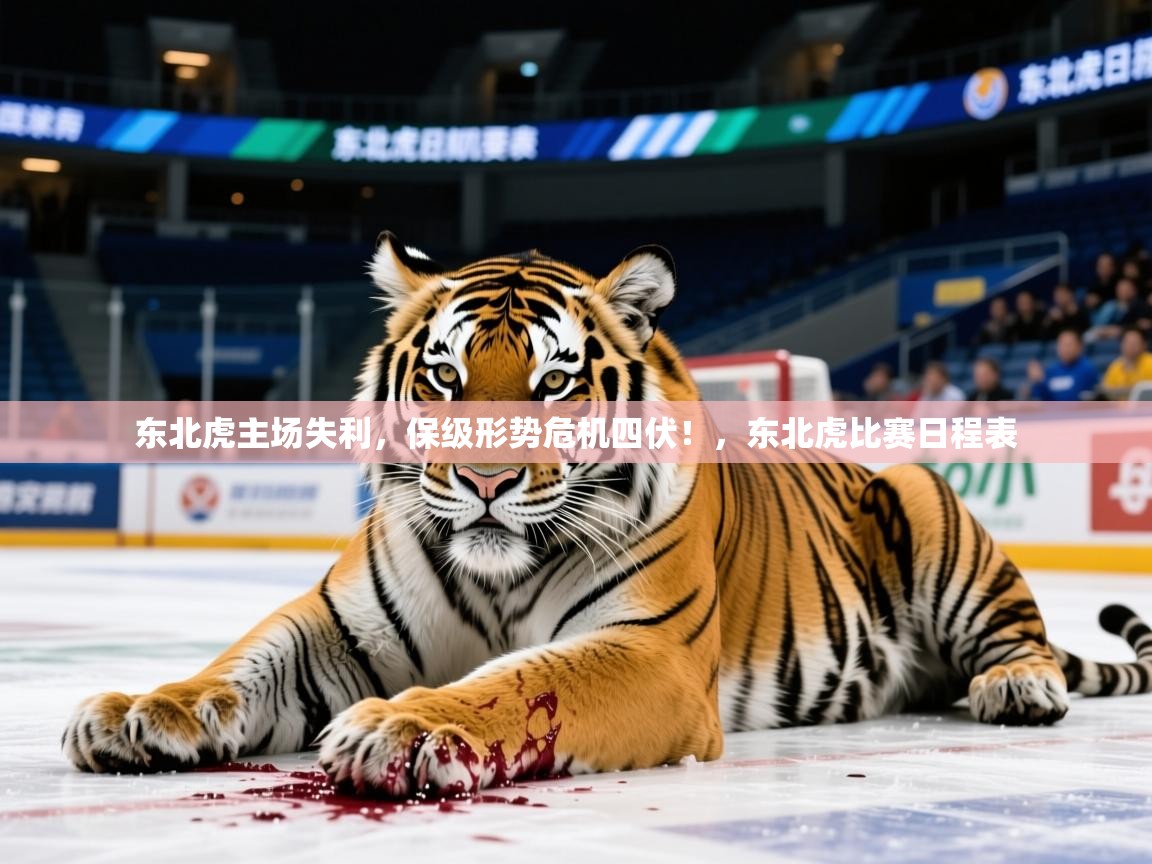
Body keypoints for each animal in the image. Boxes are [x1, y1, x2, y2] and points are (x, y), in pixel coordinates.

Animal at [64, 233, 1152, 797]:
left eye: (553, 382)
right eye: (445, 375)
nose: (486, 480)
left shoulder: (647, 650)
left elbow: (520, 680)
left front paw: (406, 726)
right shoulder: (336, 627)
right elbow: (242, 662)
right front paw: (142, 710)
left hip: (926, 496)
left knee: (1022, 637)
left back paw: (1018, 686)